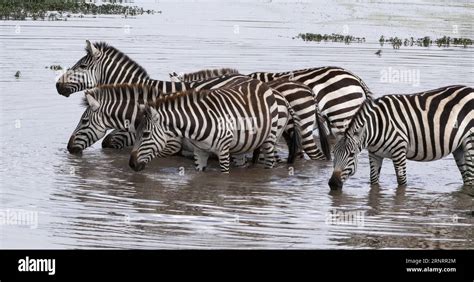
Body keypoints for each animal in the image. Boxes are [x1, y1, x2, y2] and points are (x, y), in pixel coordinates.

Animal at [129, 79, 282, 172]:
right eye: (135, 133)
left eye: (145, 134)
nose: (131, 165)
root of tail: (260, 83)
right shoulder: (200, 152)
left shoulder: (223, 151)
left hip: (270, 138)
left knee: (270, 162)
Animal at [330, 83, 474, 189]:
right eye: (334, 154)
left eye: (351, 154)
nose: (332, 184)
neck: (376, 128)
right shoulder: (374, 154)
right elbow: (374, 180)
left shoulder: (399, 151)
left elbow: (402, 182)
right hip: (459, 147)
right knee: (467, 178)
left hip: (470, 142)